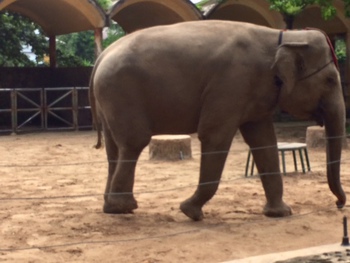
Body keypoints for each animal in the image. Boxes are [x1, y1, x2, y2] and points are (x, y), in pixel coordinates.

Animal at [89, 20, 346, 222]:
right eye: (331, 80)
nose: (339, 204)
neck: (281, 36)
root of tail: (102, 55)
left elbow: (263, 141)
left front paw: (280, 213)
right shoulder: (232, 83)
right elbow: (214, 136)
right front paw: (190, 211)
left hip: (109, 99)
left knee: (114, 148)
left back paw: (110, 207)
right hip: (121, 92)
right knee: (134, 142)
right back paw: (124, 208)